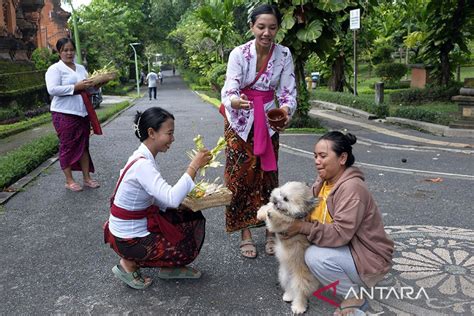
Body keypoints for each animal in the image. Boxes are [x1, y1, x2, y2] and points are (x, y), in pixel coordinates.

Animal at [258, 181, 320, 314]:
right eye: (280, 193)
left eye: (285, 199)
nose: (275, 199)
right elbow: (267, 207)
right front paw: (261, 213)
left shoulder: (285, 225)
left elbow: (277, 218)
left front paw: (272, 213)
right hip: (284, 275)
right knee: (291, 288)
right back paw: (288, 296)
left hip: (301, 279)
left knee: (301, 293)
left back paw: (298, 307)